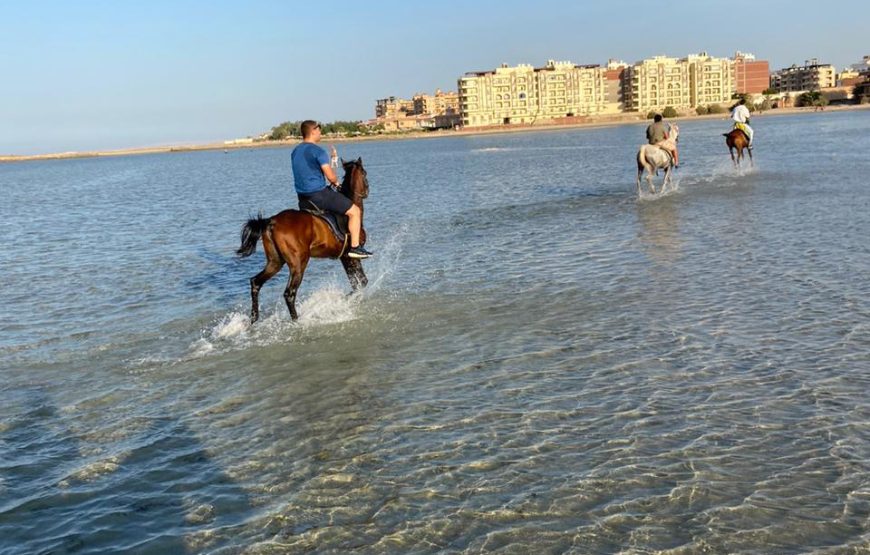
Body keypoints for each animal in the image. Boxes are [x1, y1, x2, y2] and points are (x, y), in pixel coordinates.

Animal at [236, 158, 369, 323]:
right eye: (365, 174)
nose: (367, 191)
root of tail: (272, 221)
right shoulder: (351, 257)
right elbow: (361, 282)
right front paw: (345, 299)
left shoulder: (344, 257)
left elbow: (358, 283)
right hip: (299, 263)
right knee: (289, 293)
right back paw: (296, 321)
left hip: (275, 261)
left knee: (255, 282)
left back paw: (254, 318)